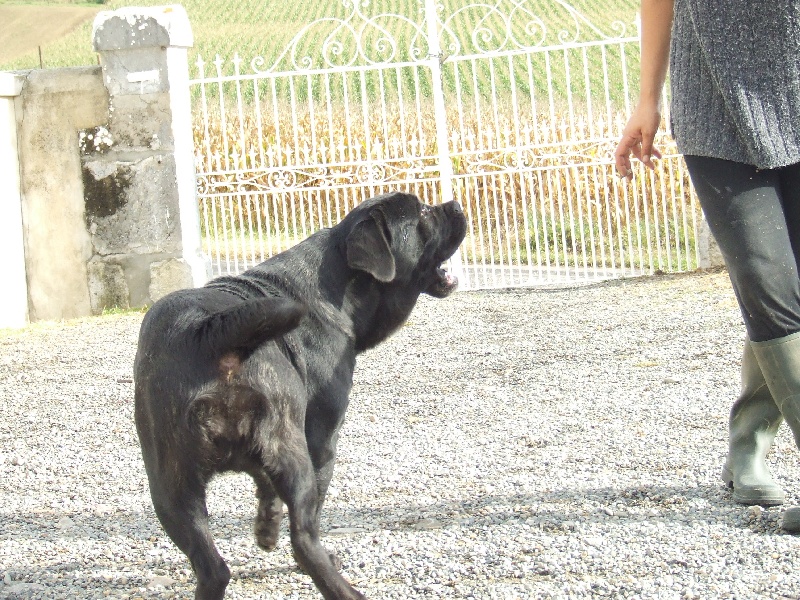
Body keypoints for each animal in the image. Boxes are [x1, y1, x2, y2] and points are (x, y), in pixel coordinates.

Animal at [133, 191, 467, 599]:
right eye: (422, 212)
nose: (456, 205)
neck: (339, 283)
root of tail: (206, 331)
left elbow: (265, 486)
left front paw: (266, 526)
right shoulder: (321, 440)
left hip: (170, 487)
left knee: (212, 568)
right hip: (296, 457)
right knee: (304, 541)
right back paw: (343, 588)